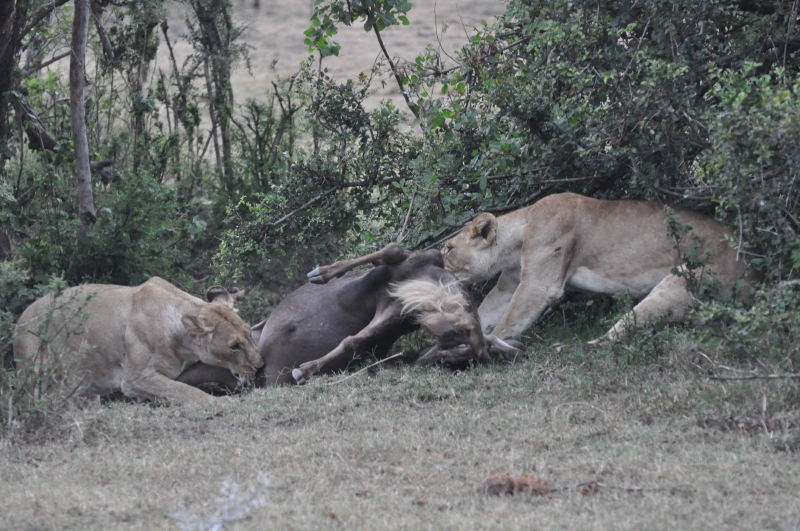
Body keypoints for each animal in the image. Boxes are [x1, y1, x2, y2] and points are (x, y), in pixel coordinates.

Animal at [13, 277, 263, 404]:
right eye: (234, 346)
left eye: (249, 332)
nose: (261, 366)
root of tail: (21, 317)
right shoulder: (134, 379)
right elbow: (185, 391)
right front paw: (220, 403)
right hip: (34, 375)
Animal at [442, 193, 752, 345]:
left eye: (448, 249)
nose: (436, 263)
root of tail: (752, 272)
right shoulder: (509, 284)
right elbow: (487, 310)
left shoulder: (539, 285)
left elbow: (506, 323)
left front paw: (489, 345)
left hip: (680, 285)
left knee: (616, 336)